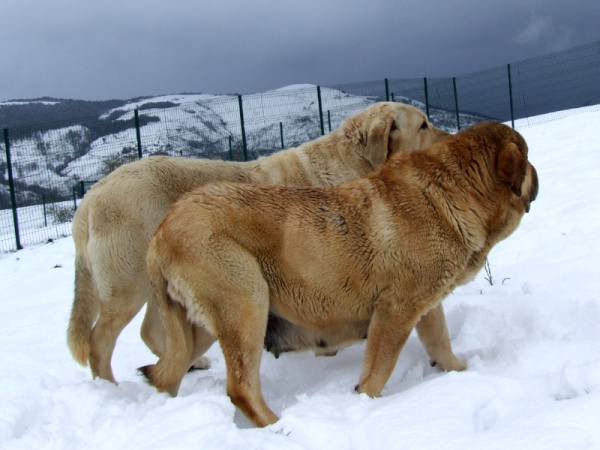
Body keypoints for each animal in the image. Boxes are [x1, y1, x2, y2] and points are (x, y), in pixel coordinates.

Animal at [67, 100, 450, 382]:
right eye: (423, 125)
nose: (452, 137)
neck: (355, 164)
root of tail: (89, 199)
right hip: (127, 284)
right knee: (100, 342)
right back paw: (111, 389)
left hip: (153, 281)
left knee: (149, 331)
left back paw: (189, 364)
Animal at [141, 121, 540, 428]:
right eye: (527, 157)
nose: (537, 174)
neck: (451, 193)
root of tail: (161, 231)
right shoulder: (395, 311)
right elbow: (379, 369)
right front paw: (366, 404)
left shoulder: (423, 305)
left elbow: (440, 343)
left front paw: (461, 371)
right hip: (246, 304)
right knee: (241, 388)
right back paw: (279, 427)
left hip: (200, 327)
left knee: (169, 374)